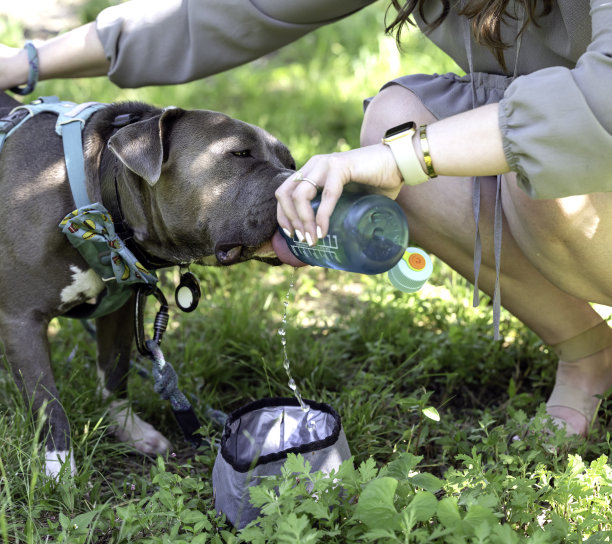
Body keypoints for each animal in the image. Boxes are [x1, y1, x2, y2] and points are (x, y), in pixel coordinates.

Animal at [0, 91, 296, 478]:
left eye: (291, 161)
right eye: (240, 154)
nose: (299, 180)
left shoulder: (120, 309)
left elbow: (115, 373)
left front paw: (129, 430)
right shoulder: (22, 321)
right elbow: (47, 404)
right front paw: (59, 469)